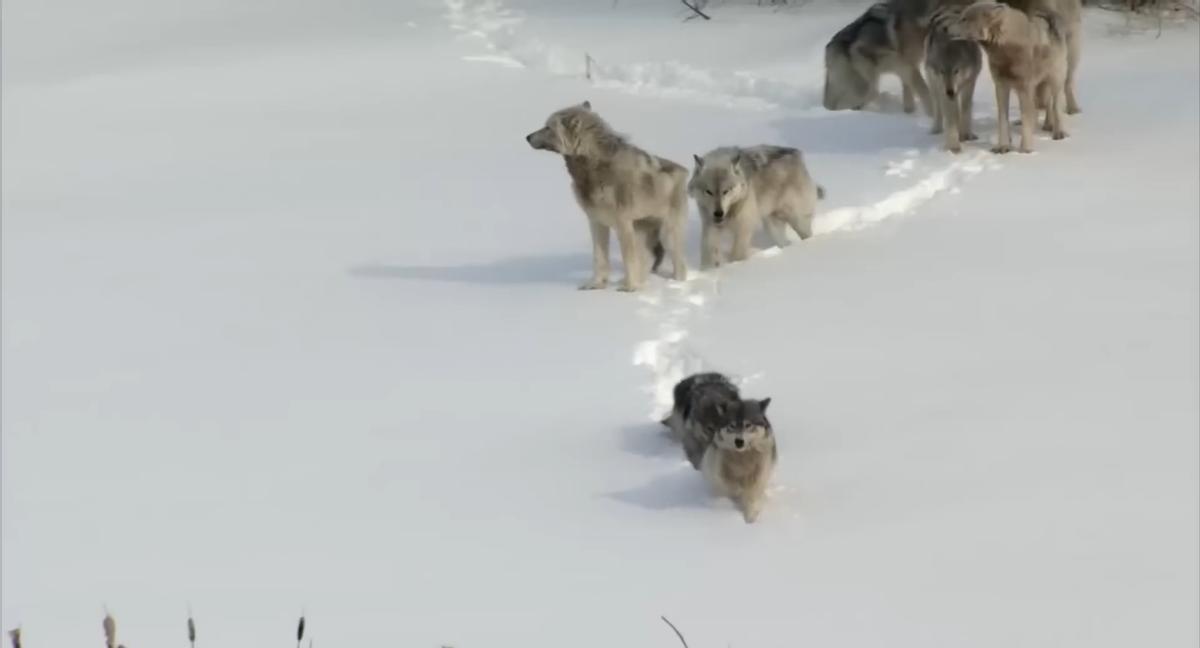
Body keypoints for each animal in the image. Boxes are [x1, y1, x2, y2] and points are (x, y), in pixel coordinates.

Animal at [523, 100, 686, 291]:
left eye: (547, 127)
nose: (527, 137)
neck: (592, 169)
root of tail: (684, 170)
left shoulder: (623, 223)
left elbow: (628, 259)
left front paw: (629, 289)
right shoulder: (596, 222)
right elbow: (599, 258)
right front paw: (595, 285)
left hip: (666, 234)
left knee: (680, 264)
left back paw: (675, 284)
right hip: (641, 232)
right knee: (648, 258)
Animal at [667, 372, 777, 523]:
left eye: (748, 425)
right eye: (732, 426)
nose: (739, 441)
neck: (742, 457)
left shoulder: (758, 473)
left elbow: (751, 494)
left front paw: (750, 517)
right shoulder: (718, 468)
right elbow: (728, 483)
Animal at [686, 146, 825, 268]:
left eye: (726, 191)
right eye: (708, 192)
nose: (718, 213)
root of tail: (797, 156)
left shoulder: (744, 227)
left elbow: (737, 254)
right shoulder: (710, 225)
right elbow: (708, 249)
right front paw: (708, 270)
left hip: (798, 221)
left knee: (807, 235)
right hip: (772, 227)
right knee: (784, 243)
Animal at [921, 4, 979, 153]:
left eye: (956, 71)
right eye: (942, 71)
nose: (950, 91)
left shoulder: (970, 83)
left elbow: (965, 109)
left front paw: (966, 135)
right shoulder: (941, 87)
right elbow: (951, 117)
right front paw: (954, 147)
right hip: (933, 84)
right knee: (937, 107)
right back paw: (936, 129)